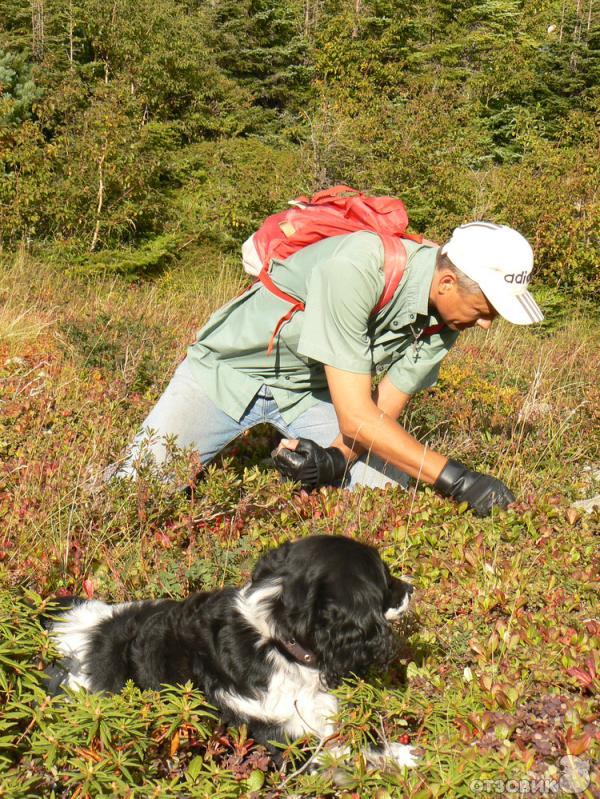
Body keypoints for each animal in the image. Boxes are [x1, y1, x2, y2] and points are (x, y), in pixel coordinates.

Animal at [44, 536, 418, 768]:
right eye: (385, 579)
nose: (412, 587)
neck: (275, 642)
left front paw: (401, 753)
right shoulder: (284, 739)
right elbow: (346, 753)